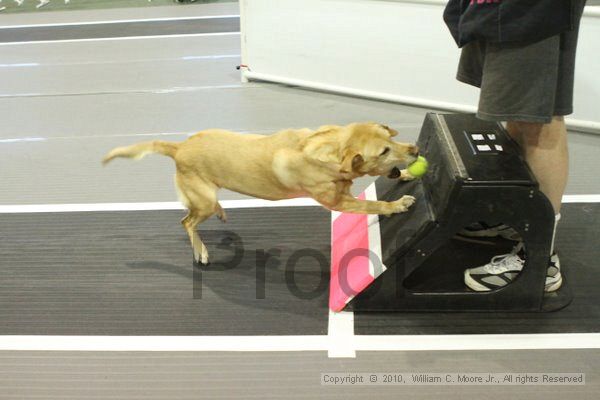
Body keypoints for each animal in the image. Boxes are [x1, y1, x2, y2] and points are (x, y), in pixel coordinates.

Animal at [103, 123, 420, 264]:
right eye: (383, 151)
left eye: (390, 137)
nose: (416, 150)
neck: (328, 151)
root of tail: (179, 147)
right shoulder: (339, 201)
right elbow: (375, 205)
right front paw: (397, 204)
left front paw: (406, 174)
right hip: (202, 200)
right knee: (187, 222)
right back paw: (201, 252)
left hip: (206, 197)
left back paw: (221, 213)